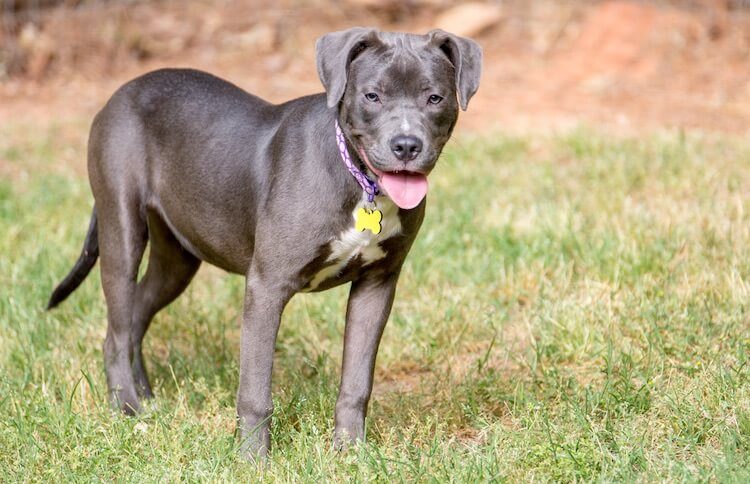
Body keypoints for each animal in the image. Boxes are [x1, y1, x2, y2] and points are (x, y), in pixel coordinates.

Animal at [48, 26, 482, 458]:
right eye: (372, 96)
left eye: (435, 98)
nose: (406, 145)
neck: (360, 182)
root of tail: (124, 90)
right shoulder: (267, 286)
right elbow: (255, 389)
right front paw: (252, 460)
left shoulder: (377, 285)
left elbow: (357, 381)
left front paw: (349, 452)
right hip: (122, 229)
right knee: (118, 330)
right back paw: (127, 408)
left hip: (178, 258)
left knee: (137, 313)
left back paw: (147, 398)